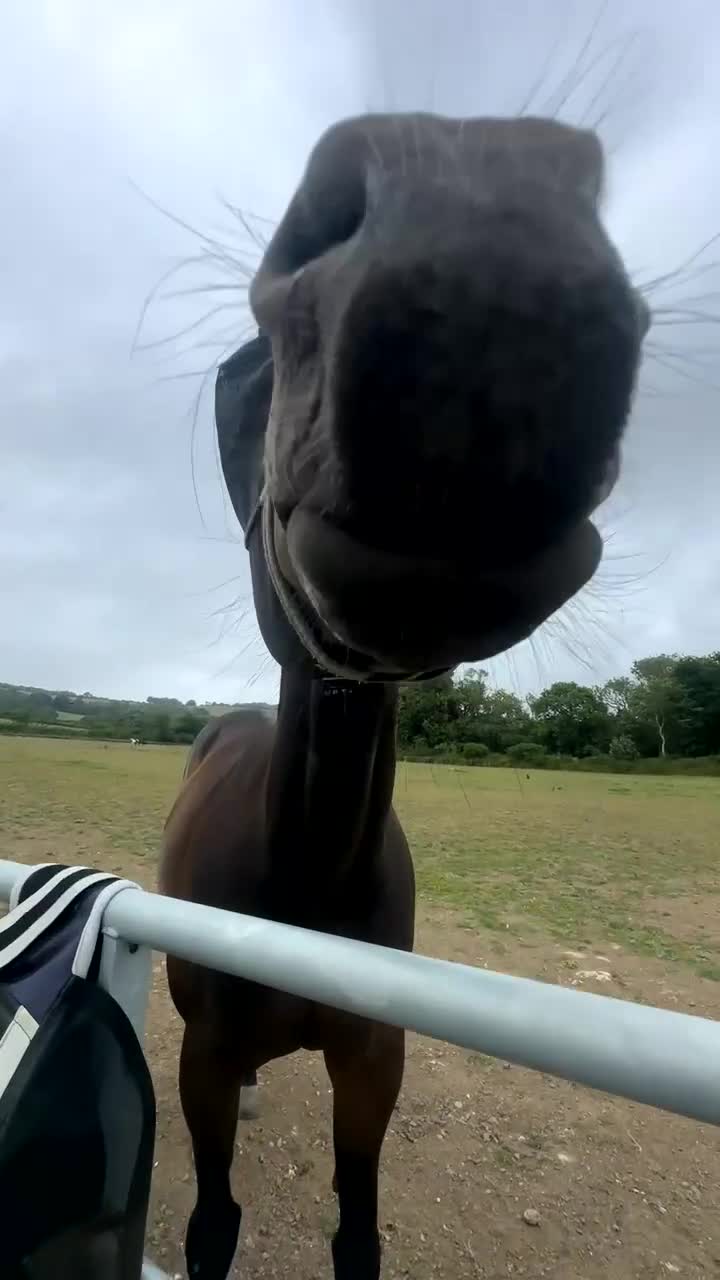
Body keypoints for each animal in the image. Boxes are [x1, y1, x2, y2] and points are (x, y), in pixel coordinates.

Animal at [159, 112, 649, 1280]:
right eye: (238, 374)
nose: (476, 257)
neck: (305, 881)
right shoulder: (204, 1056)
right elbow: (212, 1226)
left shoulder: (373, 1061)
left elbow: (359, 1234)